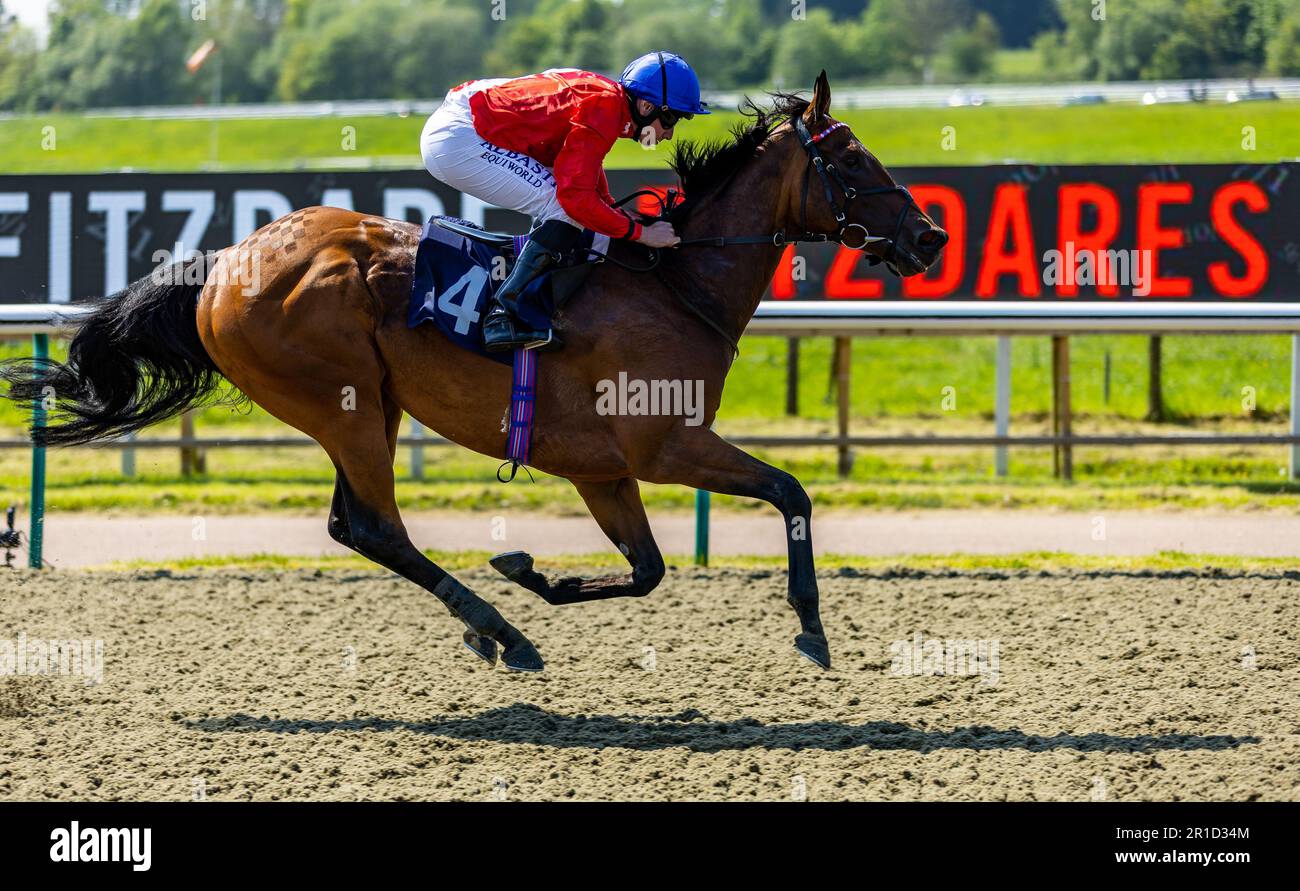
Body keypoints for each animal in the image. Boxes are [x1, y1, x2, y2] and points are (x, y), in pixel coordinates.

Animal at [0, 76, 946, 671]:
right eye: (852, 158)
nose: (932, 235)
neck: (674, 282)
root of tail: (229, 259)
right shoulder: (667, 445)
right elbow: (791, 491)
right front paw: (813, 627)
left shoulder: (604, 468)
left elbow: (648, 568)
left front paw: (531, 570)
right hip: (341, 402)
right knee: (376, 526)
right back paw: (504, 633)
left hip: (369, 406)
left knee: (353, 524)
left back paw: (495, 624)